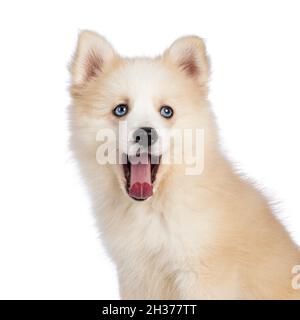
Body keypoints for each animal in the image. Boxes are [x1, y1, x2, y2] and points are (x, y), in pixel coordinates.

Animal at [68, 31, 300, 298]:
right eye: (120, 109)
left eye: (166, 111)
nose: (145, 134)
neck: (153, 208)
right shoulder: (134, 275)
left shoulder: (202, 275)